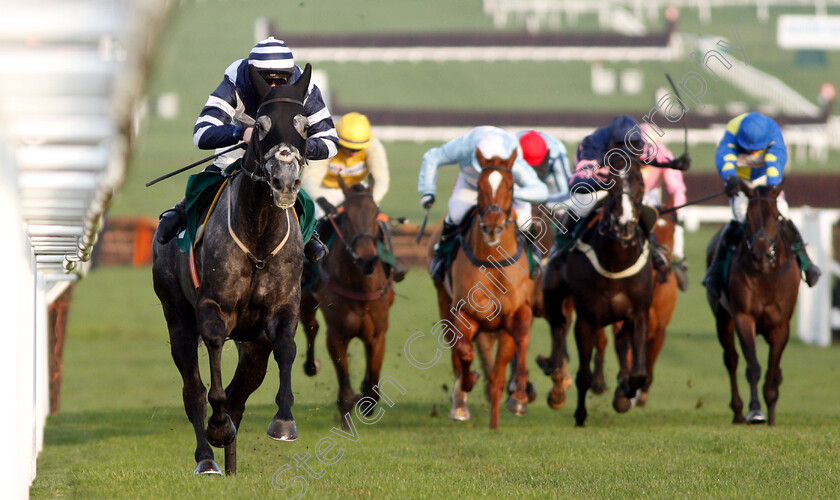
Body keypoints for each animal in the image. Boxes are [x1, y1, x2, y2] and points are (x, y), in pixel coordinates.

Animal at [151, 64, 312, 474]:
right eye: (262, 124)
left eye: (304, 125)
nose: (285, 180)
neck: (258, 239)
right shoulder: (212, 308)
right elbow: (212, 376)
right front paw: (219, 428)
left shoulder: (283, 307)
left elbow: (286, 348)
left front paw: (284, 421)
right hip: (175, 314)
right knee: (193, 389)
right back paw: (208, 457)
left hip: (253, 342)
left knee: (243, 387)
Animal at [300, 175, 396, 418]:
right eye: (346, 216)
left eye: (375, 212)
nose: (367, 260)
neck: (361, 287)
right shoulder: (337, 335)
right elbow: (345, 393)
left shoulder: (378, 334)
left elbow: (371, 391)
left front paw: (366, 395)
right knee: (311, 326)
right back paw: (311, 365)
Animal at [426, 146, 540, 428]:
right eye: (478, 185)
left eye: (511, 185)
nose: (492, 226)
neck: (493, 261)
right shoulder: (464, 312)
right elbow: (465, 353)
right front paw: (467, 384)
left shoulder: (516, 312)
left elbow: (518, 344)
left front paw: (517, 400)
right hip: (443, 300)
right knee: (457, 352)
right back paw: (460, 403)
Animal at [540, 156, 652, 426]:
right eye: (610, 183)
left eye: (640, 181)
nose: (624, 225)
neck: (615, 262)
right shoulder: (587, 318)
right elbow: (583, 375)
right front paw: (580, 415)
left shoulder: (639, 312)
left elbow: (639, 373)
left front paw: (625, 391)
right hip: (553, 293)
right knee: (558, 325)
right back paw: (555, 376)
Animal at [704, 178, 796, 424]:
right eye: (749, 217)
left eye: (775, 216)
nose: (761, 255)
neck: (765, 276)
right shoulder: (743, 317)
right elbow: (753, 366)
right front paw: (755, 410)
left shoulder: (781, 324)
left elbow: (773, 369)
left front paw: (771, 411)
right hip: (723, 319)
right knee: (732, 359)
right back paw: (737, 411)